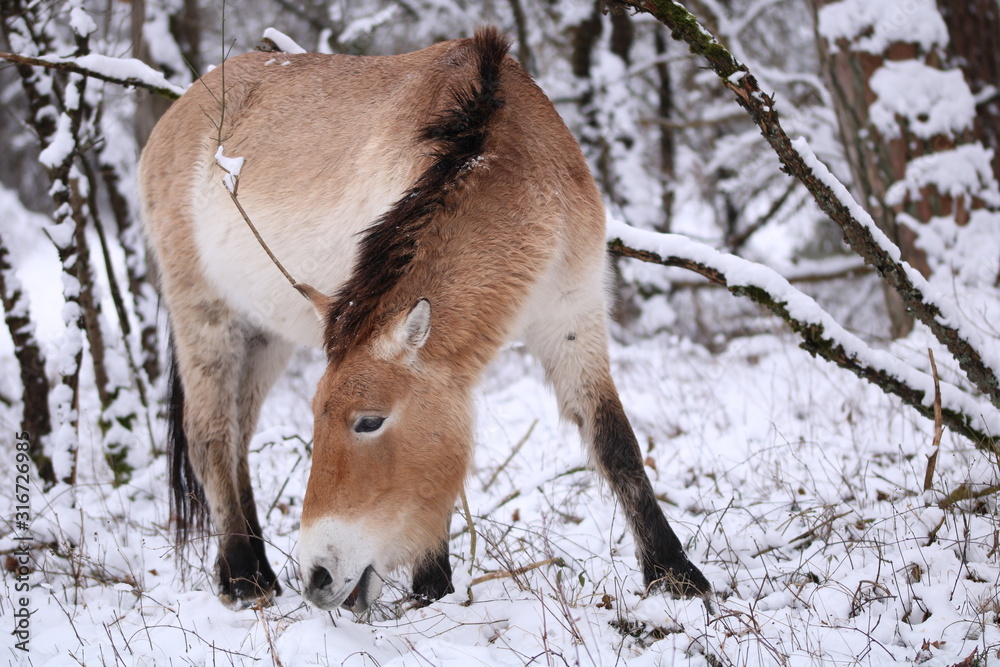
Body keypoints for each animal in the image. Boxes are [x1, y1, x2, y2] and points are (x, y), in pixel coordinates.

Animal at [139, 27, 709, 612]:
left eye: (369, 421)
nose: (317, 576)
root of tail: (183, 105)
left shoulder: (573, 319)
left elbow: (615, 442)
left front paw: (674, 576)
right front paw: (432, 589)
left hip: (263, 334)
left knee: (237, 439)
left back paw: (256, 570)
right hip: (206, 317)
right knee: (210, 438)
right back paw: (243, 576)